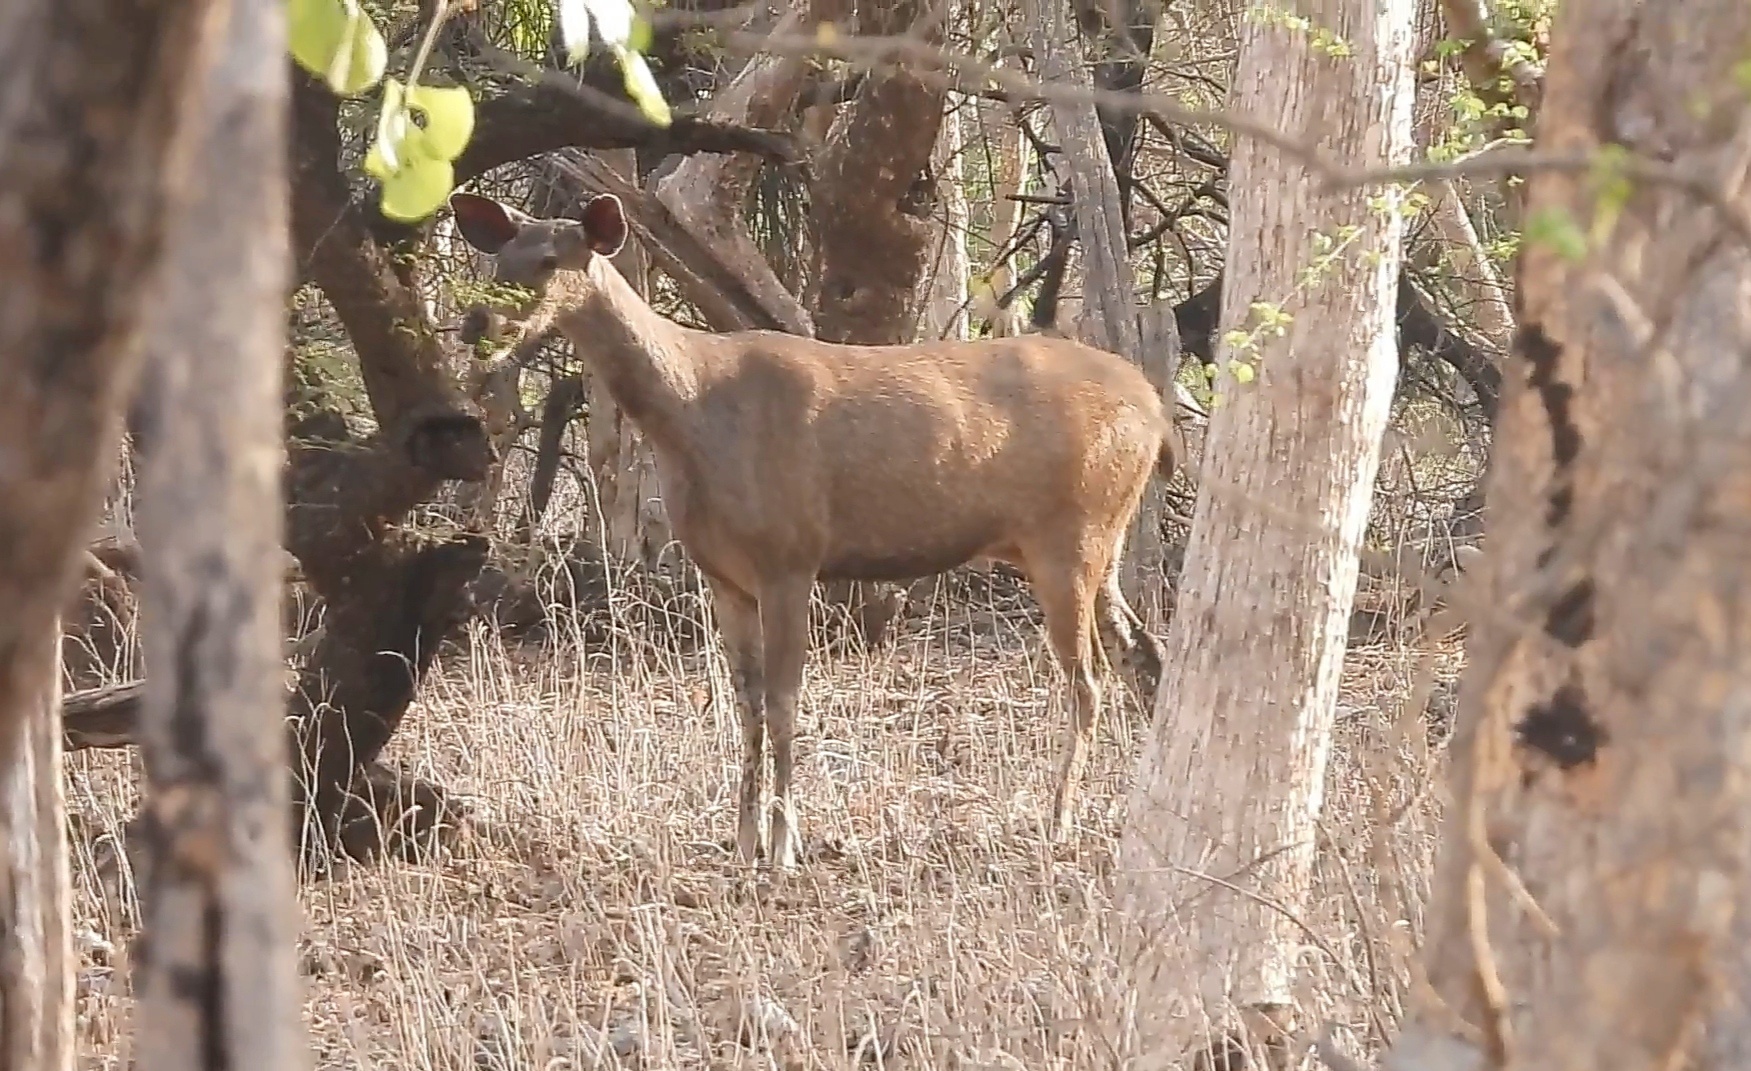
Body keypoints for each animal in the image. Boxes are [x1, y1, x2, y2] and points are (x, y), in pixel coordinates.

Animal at [451, 188, 1183, 864]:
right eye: (499, 257)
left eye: (550, 259)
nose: (476, 321)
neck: (690, 413)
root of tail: (1155, 411)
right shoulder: (722, 574)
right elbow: (745, 703)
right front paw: (742, 842)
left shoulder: (790, 555)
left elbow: (783, 700)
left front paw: (783, 846)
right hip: (1098, 538)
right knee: (1141, 651)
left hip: (1070, 533)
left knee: (1088, 678)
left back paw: (1059, 822)